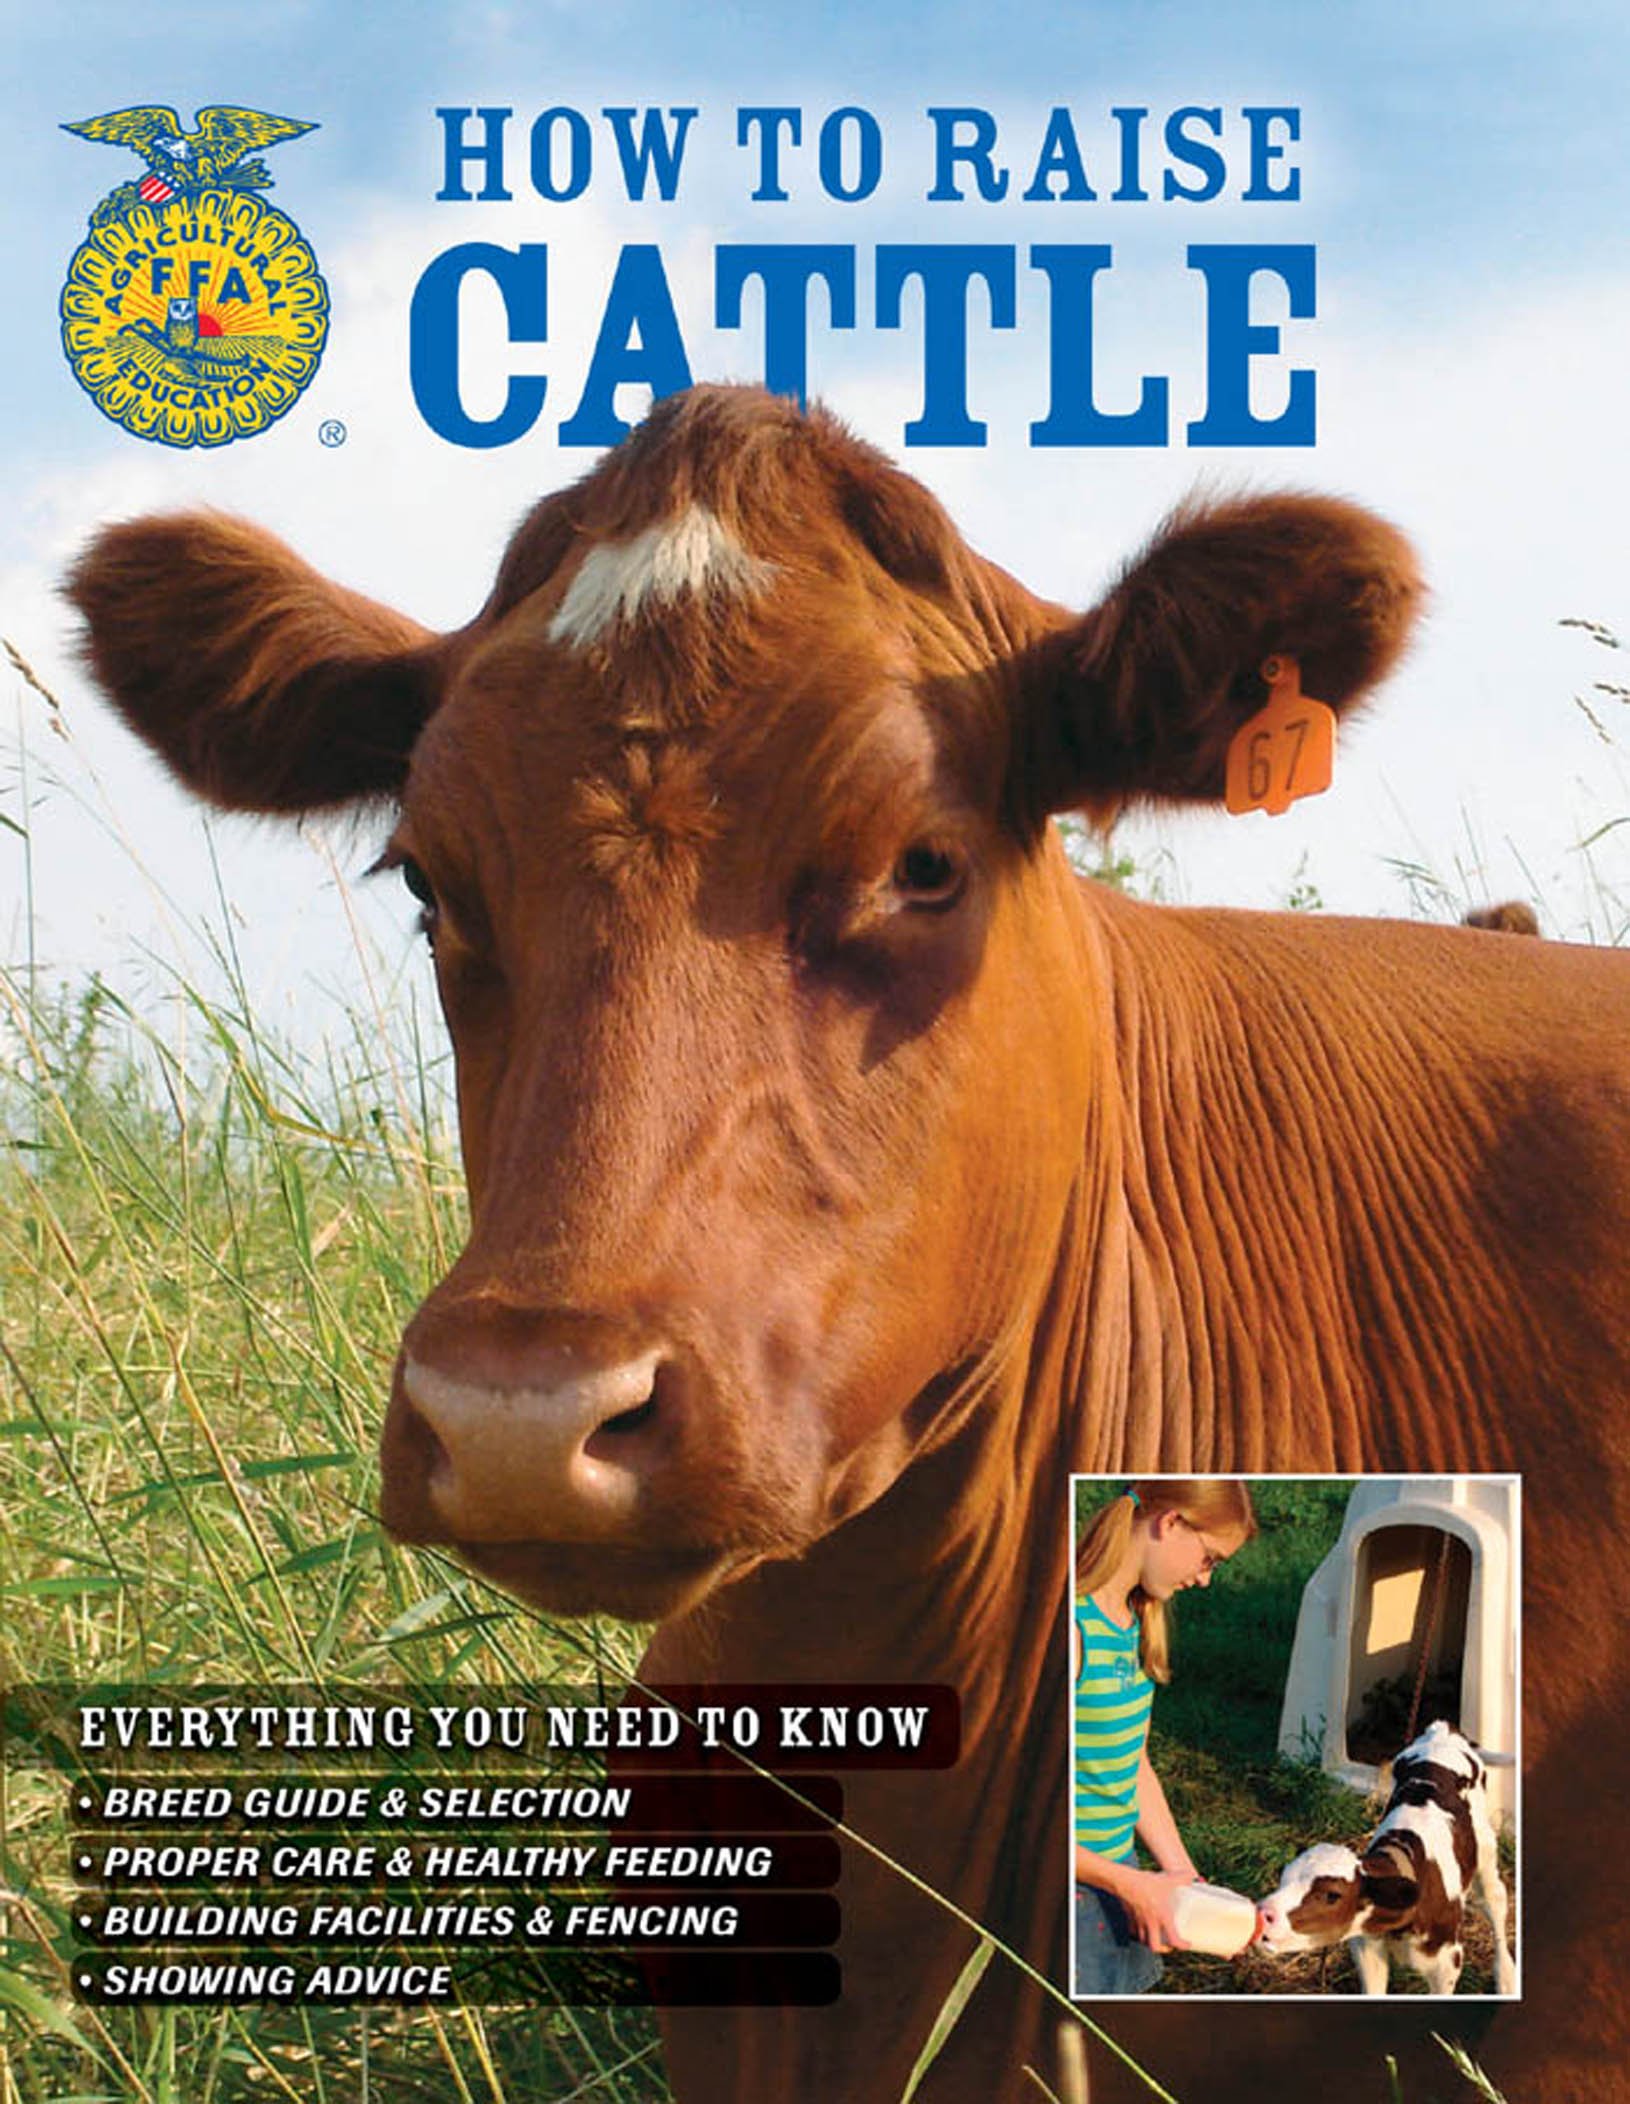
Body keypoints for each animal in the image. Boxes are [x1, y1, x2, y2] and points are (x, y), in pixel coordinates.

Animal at [1256, 1722, 1517, 1995]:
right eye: (1283, 1877)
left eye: (1332, 1895)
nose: (1263, 1914)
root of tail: (1444, 1729)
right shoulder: (1367, 1946)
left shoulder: (1448, 1961)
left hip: (1486, 1853)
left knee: (1495, 1904)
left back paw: (1507, 1977)